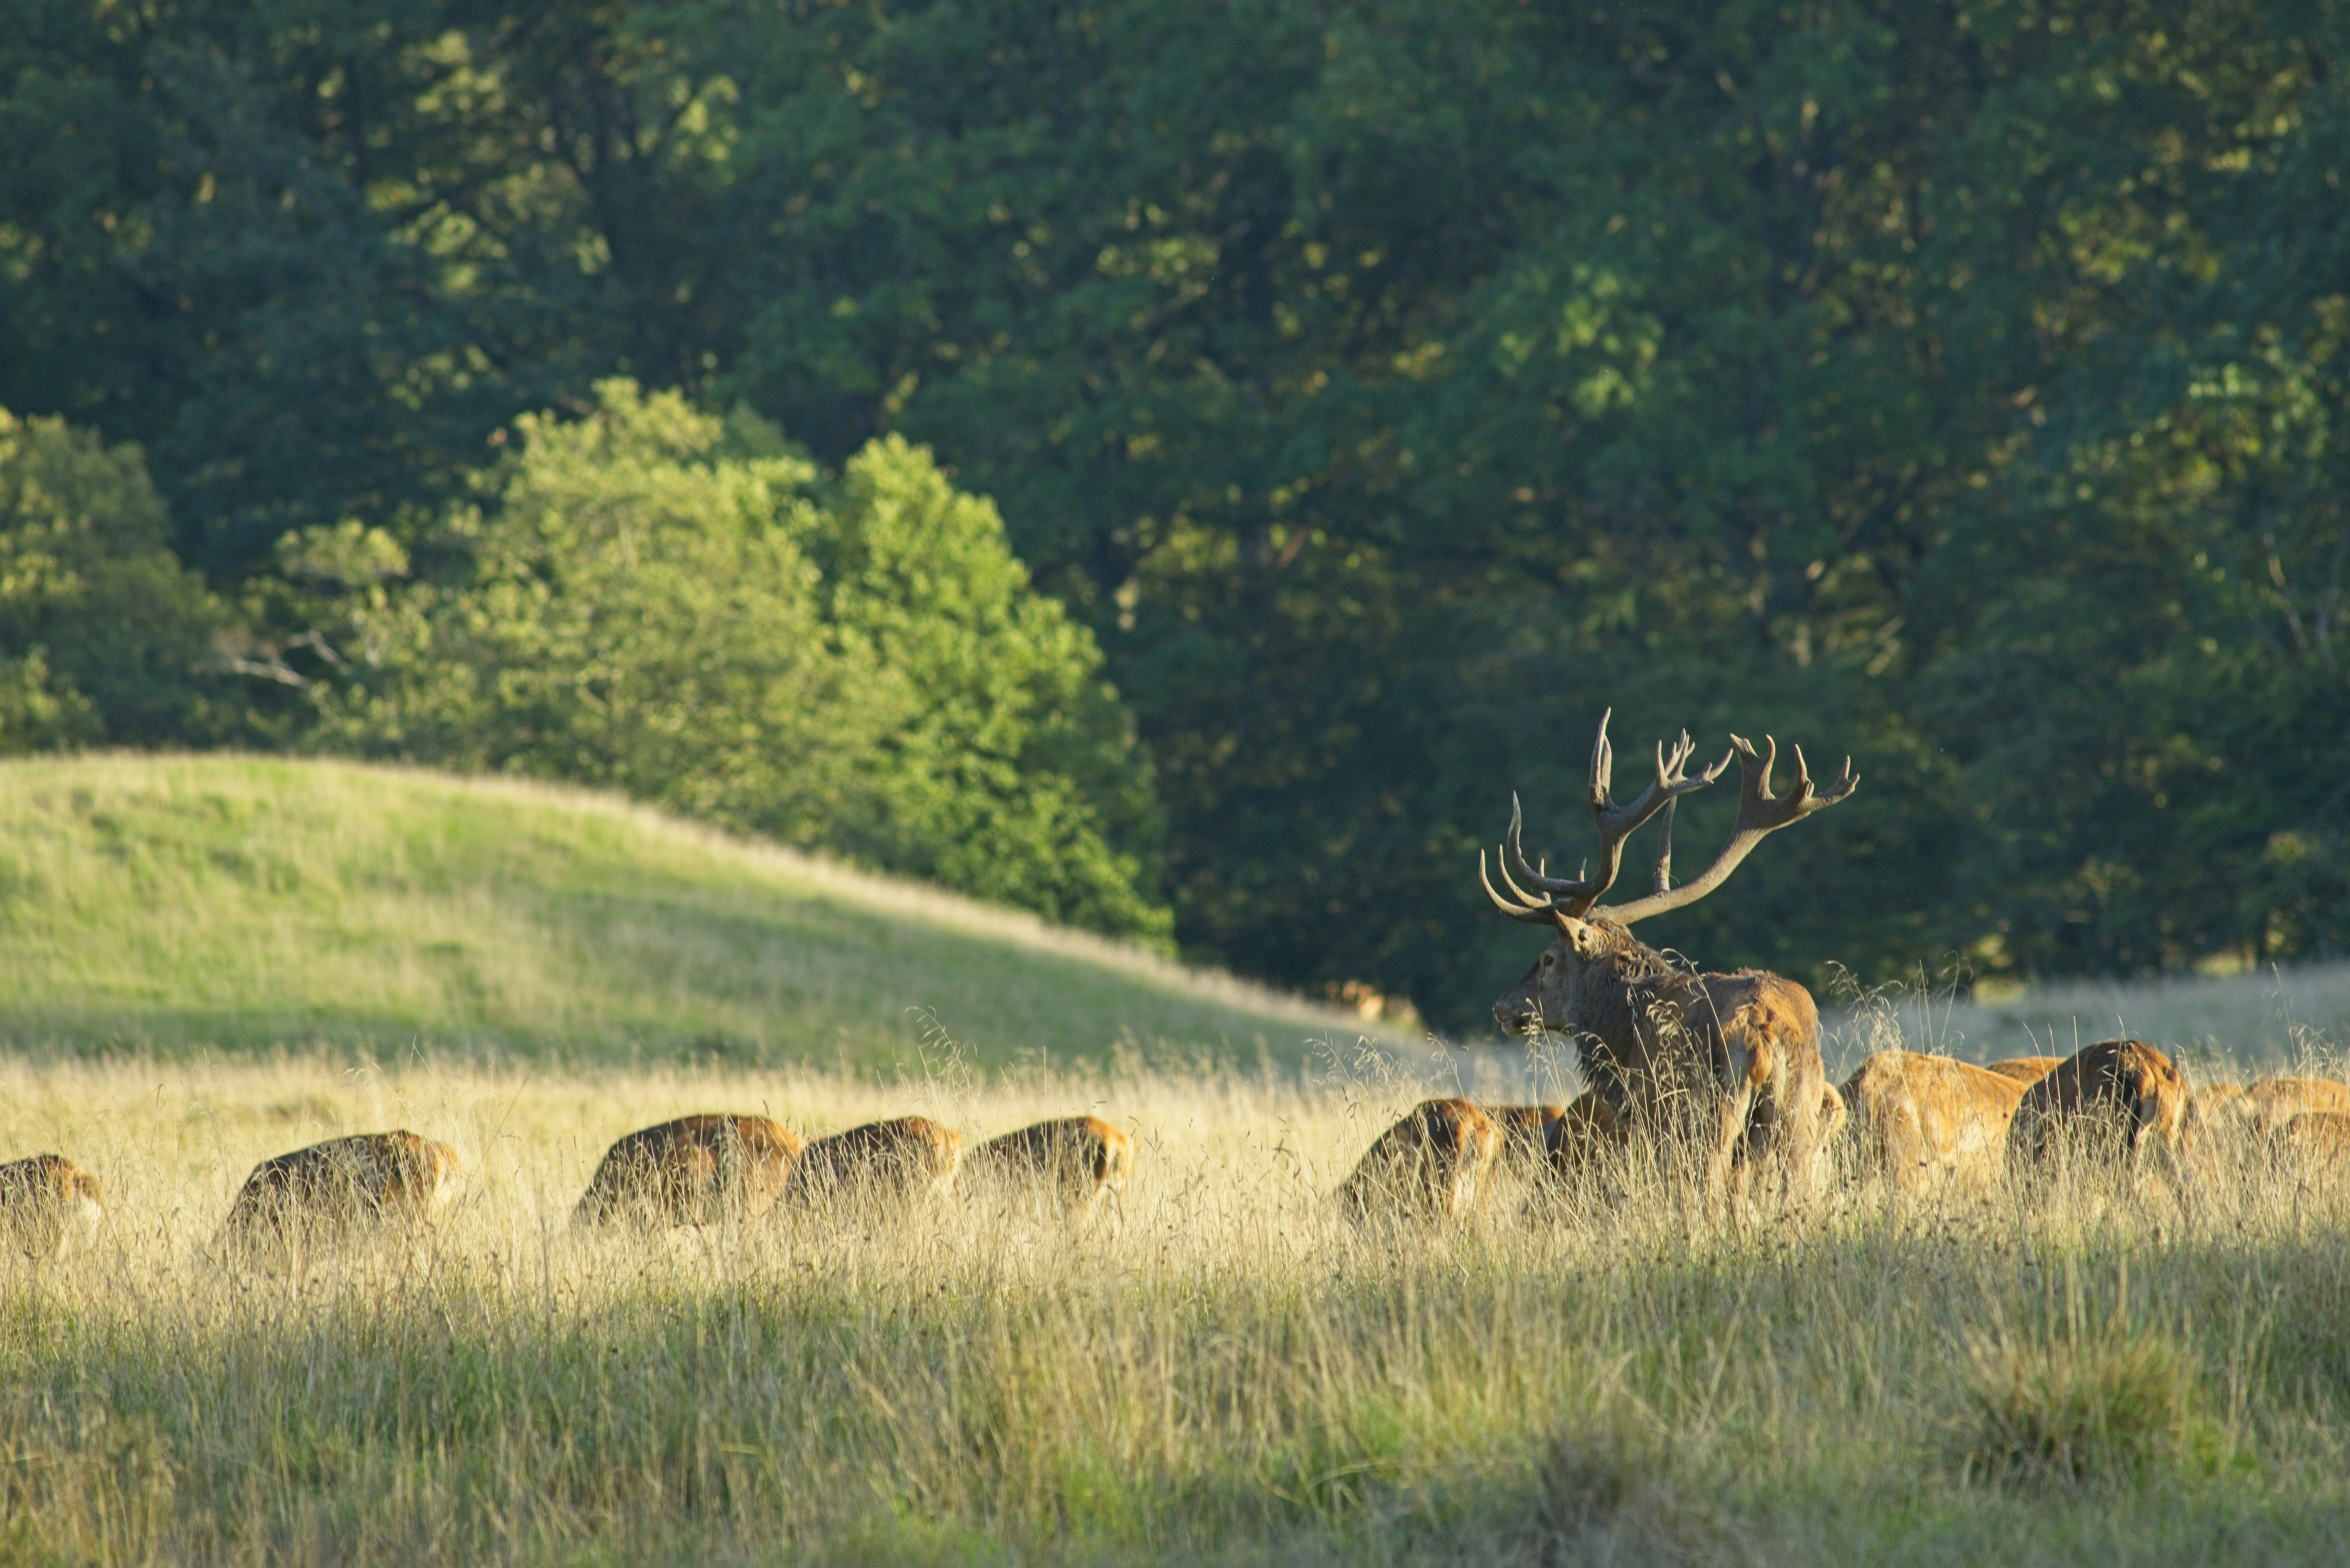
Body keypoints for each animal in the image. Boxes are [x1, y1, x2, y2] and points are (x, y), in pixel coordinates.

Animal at [1483, 710, 1857, 1205]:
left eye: (1547, 959)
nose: (1503, 1007)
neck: (1622, 1030)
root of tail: (1761, 1028)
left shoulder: (1650, 1117)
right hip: (1800, 1108)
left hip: (1708, 1112)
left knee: (1711, 1184)